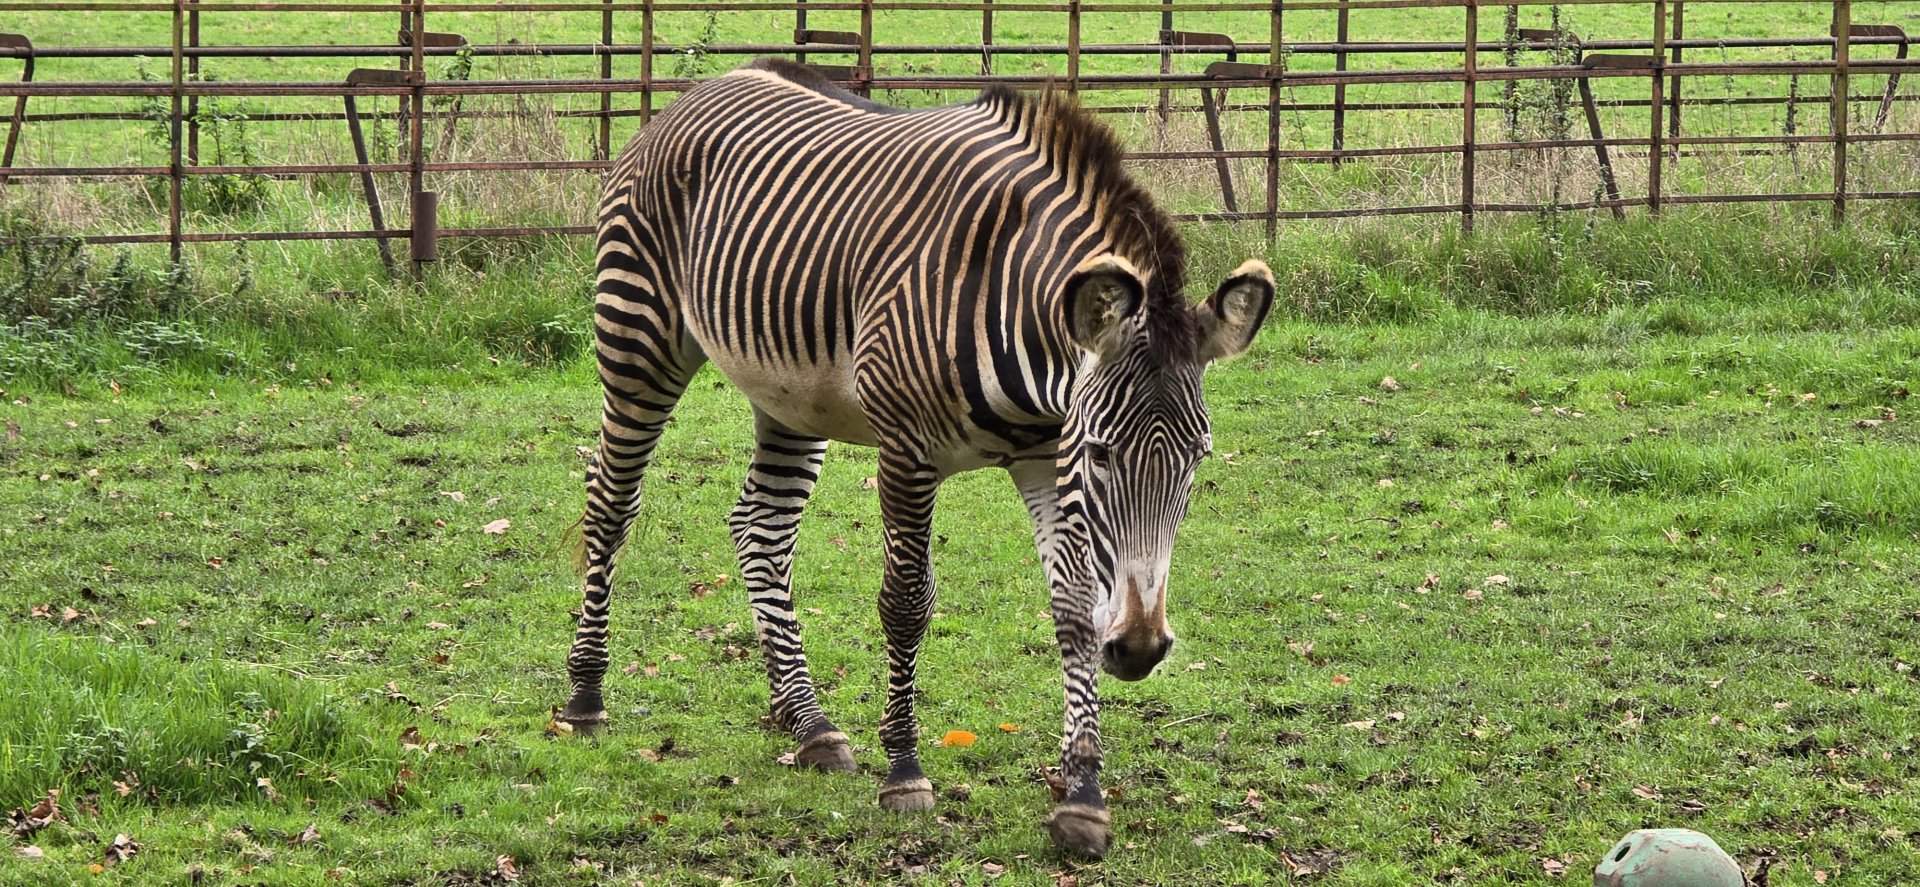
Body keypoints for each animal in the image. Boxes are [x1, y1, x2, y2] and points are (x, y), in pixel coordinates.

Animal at [557, 58, 1275, 858]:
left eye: (1197, 459)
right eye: (1102, 452)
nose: (1143, 649)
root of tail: (704, 88)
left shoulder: (1043, 456)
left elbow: (1075, 607)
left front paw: (1084, 795)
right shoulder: (907, 450)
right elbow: (905, 603)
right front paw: (904, 770)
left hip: (789, 393)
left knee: (759, 527)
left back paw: (807, 721)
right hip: (638, 337)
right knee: (610, 503)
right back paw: (586, 695)